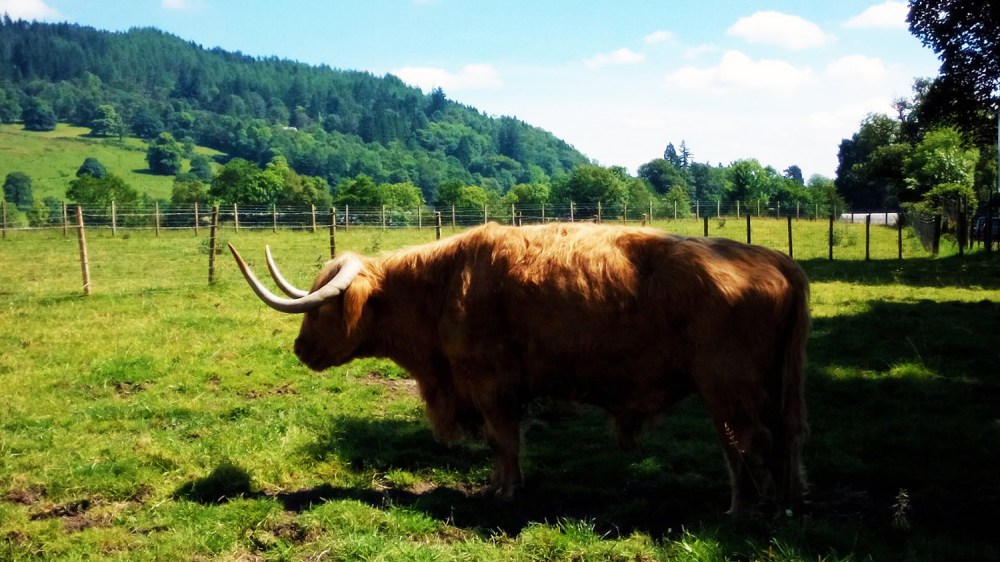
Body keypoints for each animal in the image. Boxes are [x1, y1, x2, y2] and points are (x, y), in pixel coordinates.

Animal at [229, 221, 810, 515]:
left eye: (323, 308)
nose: (301, 350)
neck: (443, 286)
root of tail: (779, 261)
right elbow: (506, 443)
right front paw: (504, 485)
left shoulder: (491, 384)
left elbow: (502, 440)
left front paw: (502, 492)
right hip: (764, 389)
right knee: (777, 439)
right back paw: (778, 504)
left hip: (727, 388)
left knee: (745, 444)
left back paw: (744, 510)